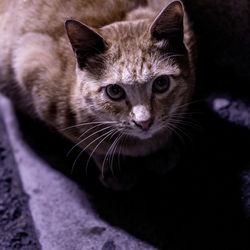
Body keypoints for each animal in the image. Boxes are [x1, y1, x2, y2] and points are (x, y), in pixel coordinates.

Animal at [0, 0, 195, 189]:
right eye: (114, 91)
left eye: (161, 83)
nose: (144, 122)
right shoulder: (31, 65)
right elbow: (95, 146)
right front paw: (116, 170)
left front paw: (162, 150)